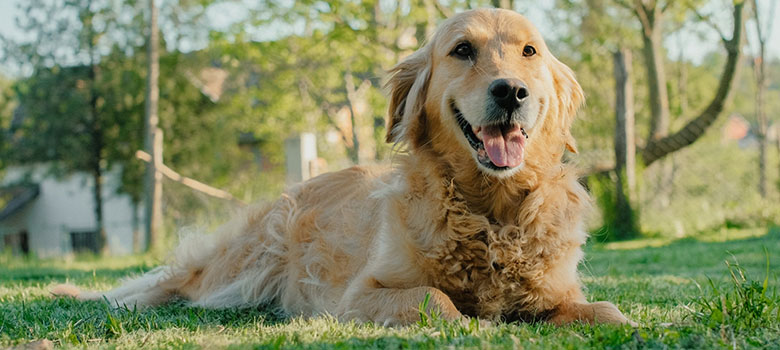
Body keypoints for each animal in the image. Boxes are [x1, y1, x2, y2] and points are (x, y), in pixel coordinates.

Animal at [53, 7, 632, 326]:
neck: (490, 212)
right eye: (463, 50)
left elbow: (604, 311)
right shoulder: (362, 294)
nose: (510, 91)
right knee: (169, 287)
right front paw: (473, 322)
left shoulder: (558, 292)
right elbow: (436, 300)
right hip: (241, 270)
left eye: (529, 52)